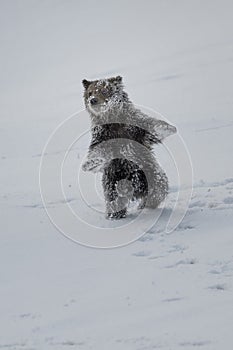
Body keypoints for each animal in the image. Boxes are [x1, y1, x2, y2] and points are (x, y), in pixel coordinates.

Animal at [82, 76, 177, 219]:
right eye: (90, 92)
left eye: (104, 90)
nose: (93, 100)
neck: (114, 121)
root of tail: (132, 191)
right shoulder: (102, 136)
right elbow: (98, 152)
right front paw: (91, 163)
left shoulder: (134, 127)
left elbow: (150, 127)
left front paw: (168, 127)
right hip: (113, 182)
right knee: (114, 202)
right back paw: (115, 215)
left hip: (149, 175)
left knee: (158, 190)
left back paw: (144, 205)